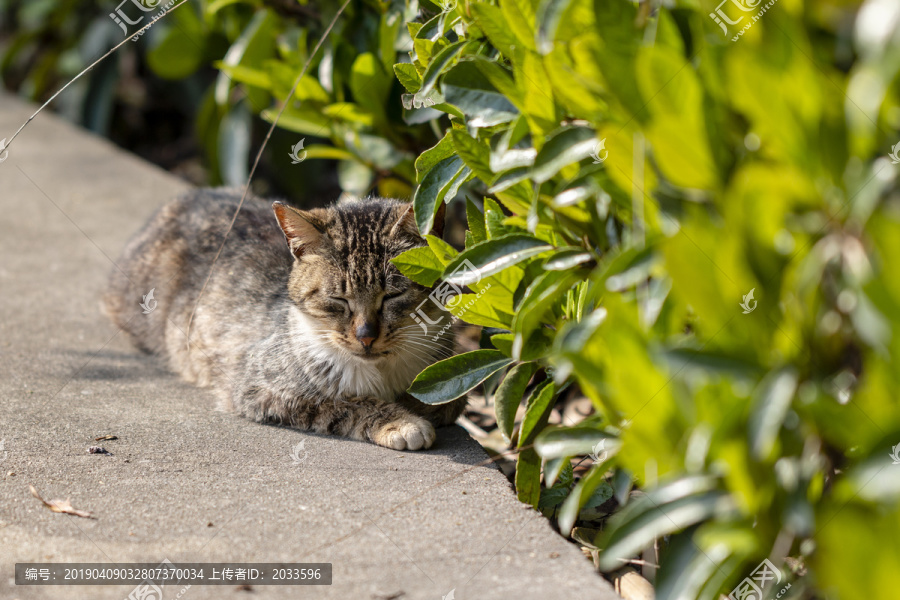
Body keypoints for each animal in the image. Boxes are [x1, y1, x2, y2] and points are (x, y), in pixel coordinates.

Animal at [105, 189, 468, 450]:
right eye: (338, 299)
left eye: (392, 295)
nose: (366, 336)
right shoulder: (261, 389)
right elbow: (350, 403)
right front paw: (402, 422)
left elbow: (447, 403)